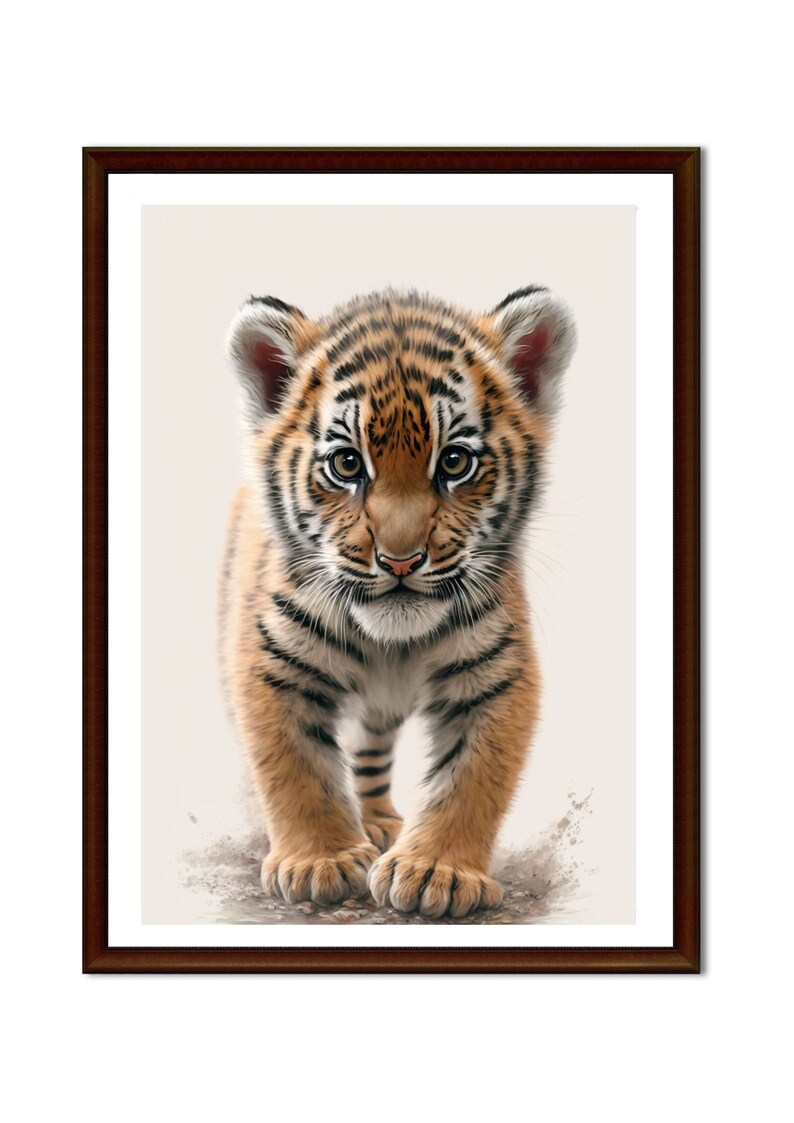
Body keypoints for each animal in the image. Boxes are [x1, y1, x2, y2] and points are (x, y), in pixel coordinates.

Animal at [219, 286, 577, 918]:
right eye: (347, 464)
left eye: (455, 461)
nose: (402, 561)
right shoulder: (270, 664)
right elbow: (295, 765)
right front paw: (321, 861)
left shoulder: (497, 673)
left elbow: (471, 778)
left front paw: (437, 871)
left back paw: (381, 823)